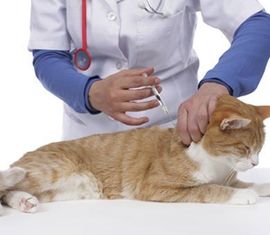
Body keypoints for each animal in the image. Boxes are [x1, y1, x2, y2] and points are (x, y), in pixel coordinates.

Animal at [0, 94, 270, 214]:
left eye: (259, 149)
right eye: (245, 148)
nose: (255, 163)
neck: (217, 164)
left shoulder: (230, 176)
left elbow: (246, 184)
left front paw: (262, 186)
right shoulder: (157, 187)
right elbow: (210, 189)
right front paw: (242, 195)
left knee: (7, 194)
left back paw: (26, 202)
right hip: (51, 170)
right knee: (6, 186)